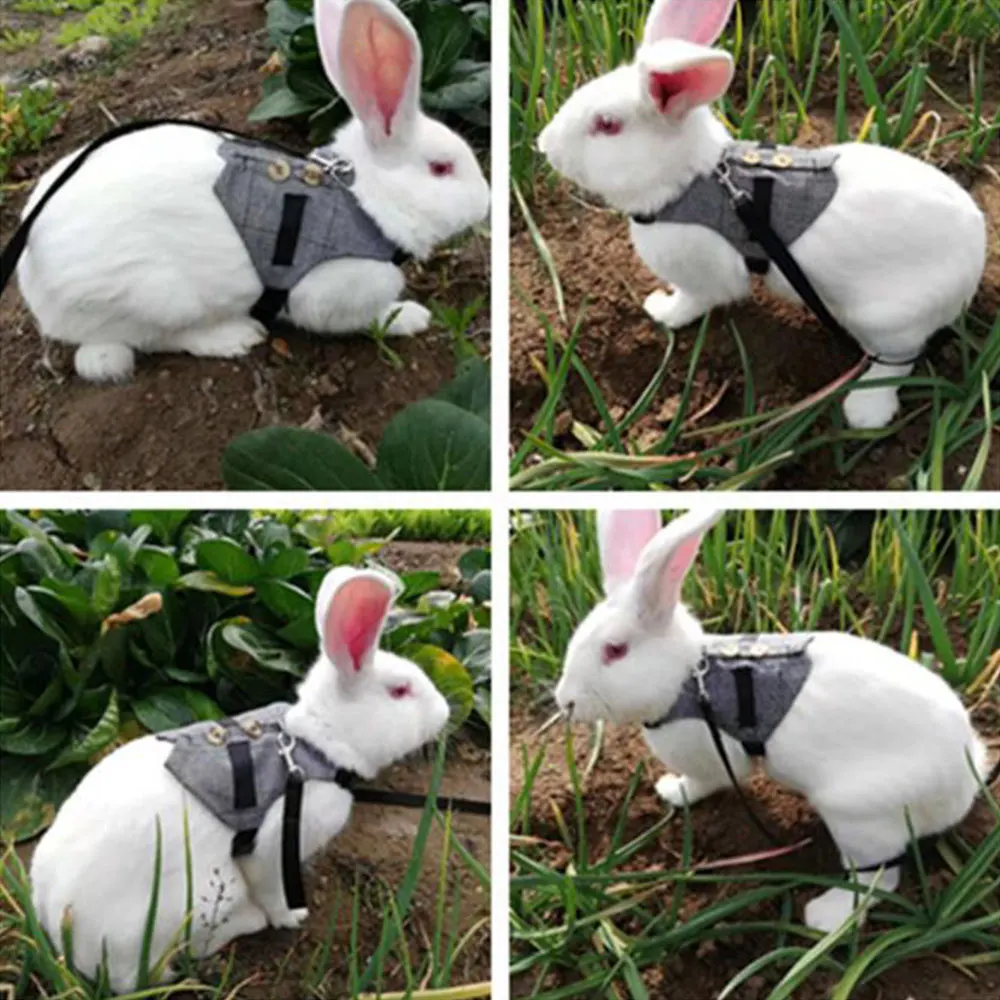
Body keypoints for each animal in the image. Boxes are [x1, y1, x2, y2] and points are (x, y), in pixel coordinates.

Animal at [14, 0, 490, 383]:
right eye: (441, 168)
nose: (486, 202)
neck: (364, 201)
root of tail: (32, 275)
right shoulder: (329, 291)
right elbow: (362, 318)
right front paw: (413, 317)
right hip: (154, 297)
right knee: (156, 338)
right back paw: (236, 336)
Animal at [30, 566, 451, 993]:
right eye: (400, 691)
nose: (445, 712)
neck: (314, 744)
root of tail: (62, 932)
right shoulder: (277, 845)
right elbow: (274, 892)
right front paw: (292, 918)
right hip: (199, 900)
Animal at [537, 0, 986, 431]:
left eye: (607, 125)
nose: (544, 146)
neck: (690, 180)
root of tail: (976, 258)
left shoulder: (703, 277)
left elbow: (694, 301)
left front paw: (661, 311)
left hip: (888, 321)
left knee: (895, 362)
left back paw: (865, 412)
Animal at [554, 509, 994, 933]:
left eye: (615, 650)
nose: (565, 701)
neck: (687, 678)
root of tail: (964, 778)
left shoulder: (713, 758)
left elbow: (703, 783)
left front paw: (672, 792)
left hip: (859, 817)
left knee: (876, 879)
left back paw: (824, 917)